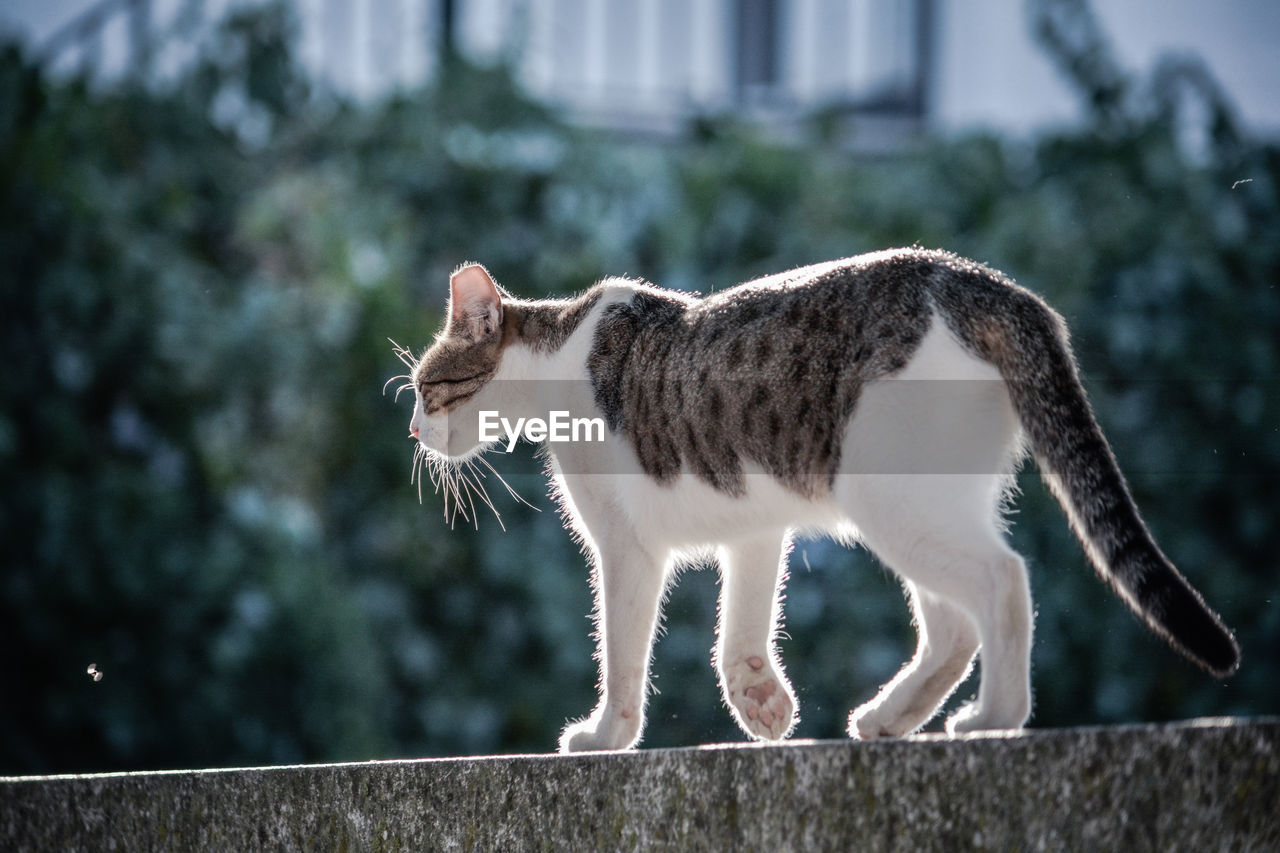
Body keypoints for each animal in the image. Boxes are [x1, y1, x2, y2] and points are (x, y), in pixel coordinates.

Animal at [399, 247, 1239, 753]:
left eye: (425, 388)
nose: (412, 429)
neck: (560, 354)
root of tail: (980, 281)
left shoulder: (626, 549)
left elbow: (625, 653)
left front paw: (607, 733)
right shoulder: (752, 523)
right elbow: (738, 627)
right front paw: (760, 699)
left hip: (890, 501)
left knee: (1002, 582)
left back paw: (994, 719)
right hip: (925, 502)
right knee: (950, 625)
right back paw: (893, 717)